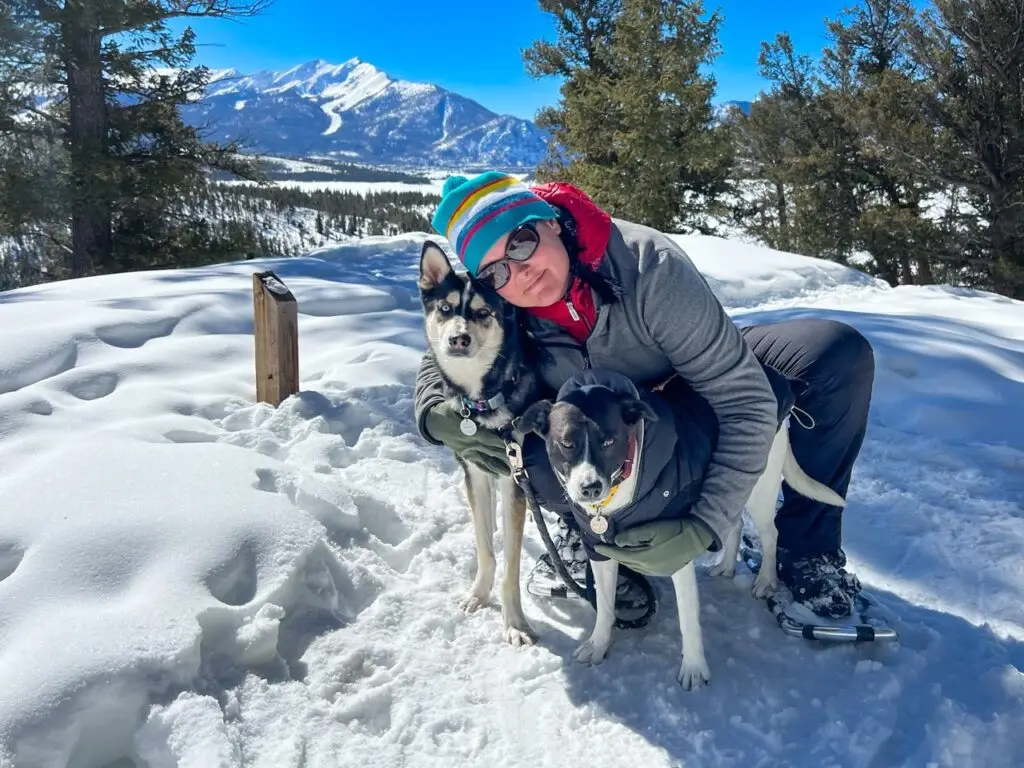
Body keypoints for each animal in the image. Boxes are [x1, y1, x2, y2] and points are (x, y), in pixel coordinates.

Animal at [415, 241, 544, 651]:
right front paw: (478, 594)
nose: (459, 339)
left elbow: (511, 566)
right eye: (445, 309)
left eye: (483, 313)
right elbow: (487, 549)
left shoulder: (513, 479)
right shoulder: (476, 472)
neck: (482, 399)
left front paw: (515, 623)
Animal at [524, 378, 843, 692]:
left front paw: (694, 668)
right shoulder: (597, 550)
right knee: (733, 522)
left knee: (771, 533)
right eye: (567, 444)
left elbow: (688, 620)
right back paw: (726, 566)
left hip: (760, 489)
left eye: (609, 441)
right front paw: (598, 644)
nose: (590, 488)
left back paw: (765, 581)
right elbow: (603, 606)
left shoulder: (675, 549)